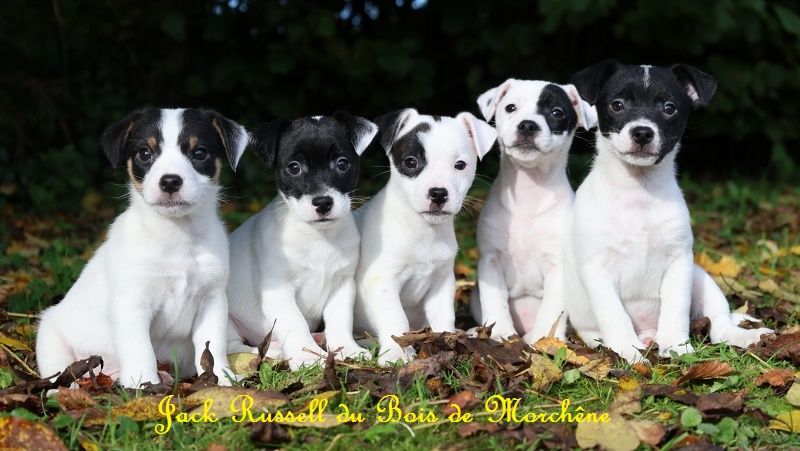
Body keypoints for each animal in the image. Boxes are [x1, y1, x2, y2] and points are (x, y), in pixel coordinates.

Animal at [36, 108, 244, 388]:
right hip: (51, 341)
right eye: (145, 153)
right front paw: (144, 384)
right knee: (59, 376)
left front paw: (221, 378)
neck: (176, 237)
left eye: (200, 153)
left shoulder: (212, 300)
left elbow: (212, 344)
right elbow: (140, 349)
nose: (170, 181)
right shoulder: (132, 304)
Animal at [223, 112, 376, 370]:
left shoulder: (342, 286)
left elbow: (340, 320)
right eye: (294, 167)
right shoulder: (279, 290)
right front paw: (307, 357)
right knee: (235, 347)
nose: (323, 202)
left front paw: (347, 349)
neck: (318, 237)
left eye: (342, 163)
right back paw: (274, 352)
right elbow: (295, 323)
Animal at [354, 110, 496, 368]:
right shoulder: (383, 281)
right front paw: (397, 354)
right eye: (411, 162)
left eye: (460, 165)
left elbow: (443, 316)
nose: (438, 193)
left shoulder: (441, 281)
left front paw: (448, 341)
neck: (423, 230)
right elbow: (396, 319)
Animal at [472, 80, 596, 342]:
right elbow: (494, 302)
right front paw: (500, 333)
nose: (528, 125)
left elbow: (552, 307)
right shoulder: (490, 261)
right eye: (510, 107)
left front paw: (544, 340)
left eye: (557, 113)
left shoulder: (558, 266)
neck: (529, 192)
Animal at [564, 61, 776, 364]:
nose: (642, 132)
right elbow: (615, 316)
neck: (639, 193)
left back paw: (748, 337)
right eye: (617, 104)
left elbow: (675, 308)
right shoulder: (598, 270)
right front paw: (628, 351)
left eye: (669, 108)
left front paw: (676, 346)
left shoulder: (678, 262)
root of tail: (648, 333)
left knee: (719, 326)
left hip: (700, 278)